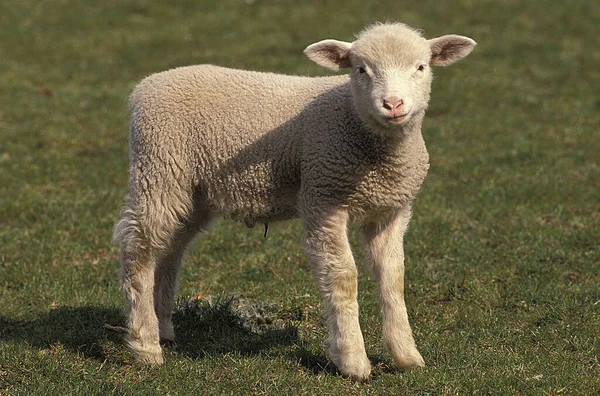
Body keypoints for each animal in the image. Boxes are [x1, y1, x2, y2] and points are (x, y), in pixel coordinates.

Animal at [115, 22, 476, 380]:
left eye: (421, 67)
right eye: (361, 69)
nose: (393, 105)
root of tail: (144, 87)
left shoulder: (391, 209)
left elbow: (393, 277)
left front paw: (405, 355)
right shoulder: (324, 198)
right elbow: (343, 277)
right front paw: (352, 361)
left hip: (192, 193)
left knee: (168, 252)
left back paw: (163, 329)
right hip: (158, 171)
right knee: (139, 251)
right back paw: (145, 345)